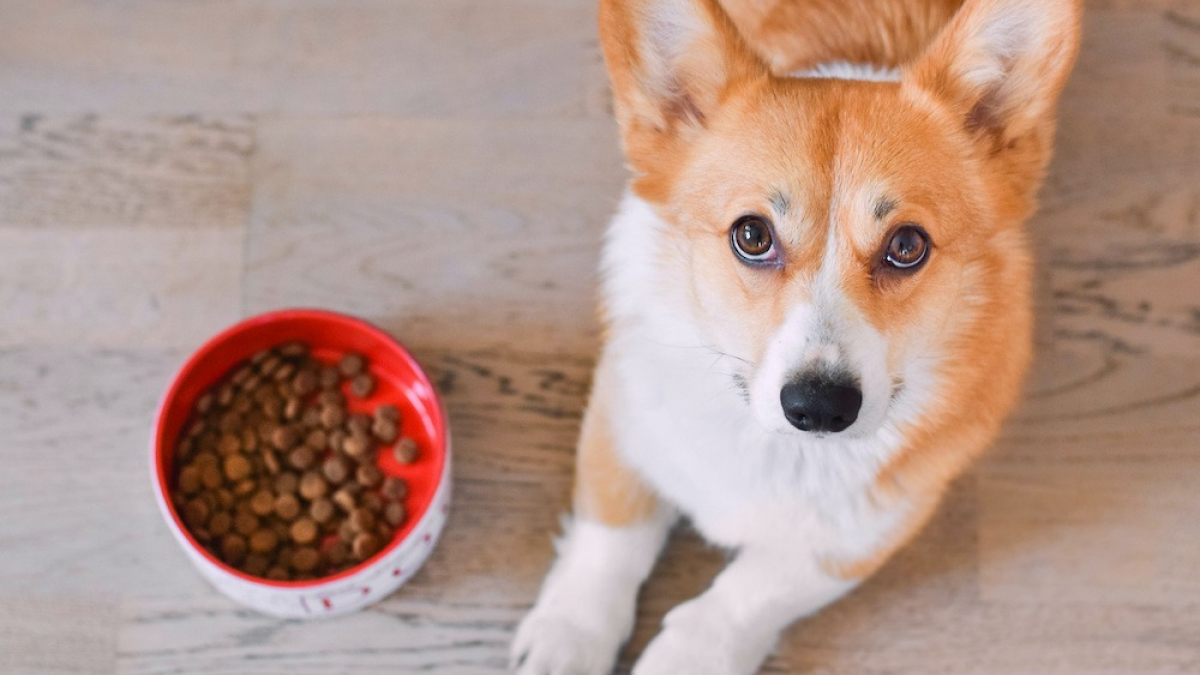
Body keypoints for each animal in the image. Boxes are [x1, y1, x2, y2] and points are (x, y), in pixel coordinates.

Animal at [511, 1, 1084, 667]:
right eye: (752, 235)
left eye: (907, 246)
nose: (820, 407)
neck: (779, 449)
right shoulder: (621, 414)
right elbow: (610, 536)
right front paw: (570, 636)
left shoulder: (862, 533)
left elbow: (748, 593)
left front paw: (688, 656)